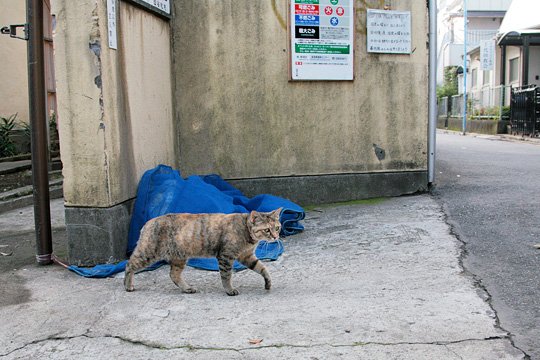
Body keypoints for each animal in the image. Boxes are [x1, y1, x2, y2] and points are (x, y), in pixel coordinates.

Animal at [123, 208, 282, 296]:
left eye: (277, 227)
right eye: (267, 230)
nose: (276, 236)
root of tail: (147, 223)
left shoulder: (247, 256)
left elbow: (262, 268)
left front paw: (268, 283)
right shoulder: (226, 256)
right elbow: (226, 276)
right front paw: (229, 290)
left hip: (179, 258)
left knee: (174, 275)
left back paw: (187, 288)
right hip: (148, 253)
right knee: (129, 264)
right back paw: (127, 285)